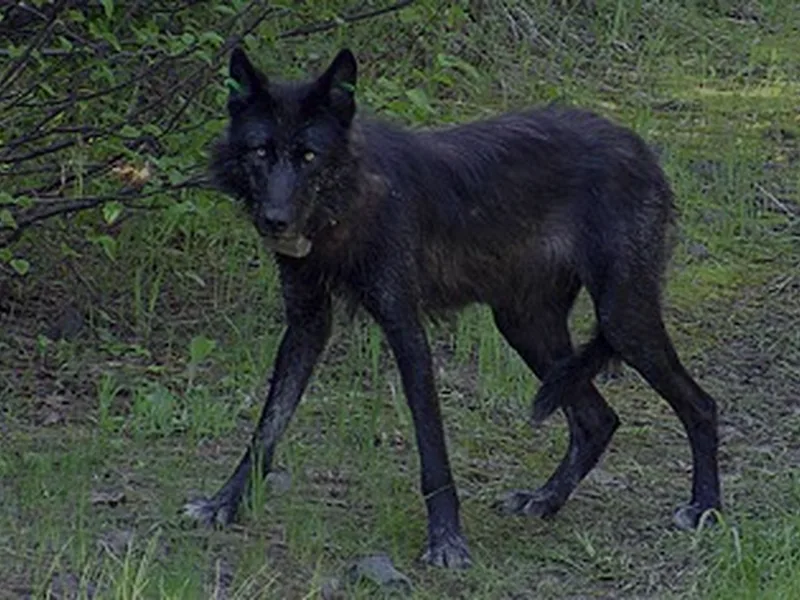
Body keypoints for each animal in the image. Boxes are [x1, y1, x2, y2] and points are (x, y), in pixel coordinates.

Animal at [183, 47, 721, 568]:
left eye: (308, 155)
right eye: (260, 152)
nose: (274, 220)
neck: (346, 210)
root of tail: (640, 146)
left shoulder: (405, 329)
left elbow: (432, 448)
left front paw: (446, 540)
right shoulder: (305, 327)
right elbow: (267, 427)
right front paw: (224, 503)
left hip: (622, 319)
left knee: (700, 405)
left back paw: (706, 508)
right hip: (527, 328)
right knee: (597, 420)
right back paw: (546, 500)